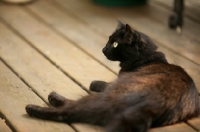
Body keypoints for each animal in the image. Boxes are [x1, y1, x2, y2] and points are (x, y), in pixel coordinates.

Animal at [25, 19, 199, 132]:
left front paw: (94, 82)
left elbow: (103, 83)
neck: (146, 57)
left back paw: (38, 105)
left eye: (115, 44)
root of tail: (152, 105)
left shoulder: (118, 79)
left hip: (110, 94)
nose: (103, 49)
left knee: (71, 111)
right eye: (108, 40)